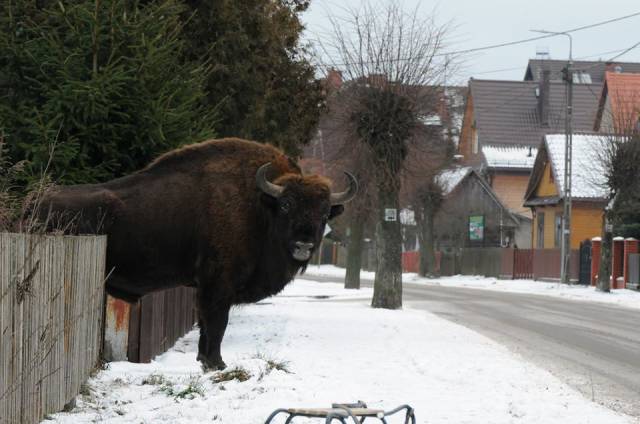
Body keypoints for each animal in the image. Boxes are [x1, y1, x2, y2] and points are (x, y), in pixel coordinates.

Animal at [40, 137, 358, 370]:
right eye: (287, 205)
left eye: (324, 212)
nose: (304, 245)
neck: (260, 205)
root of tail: (35, 201)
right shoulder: (217, 287)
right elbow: (217, 324)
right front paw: (217, 363)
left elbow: (206, 327)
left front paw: (204, 360)